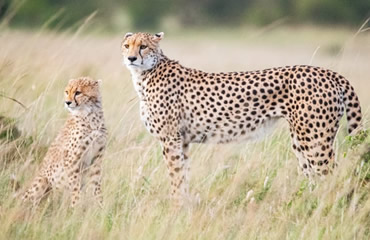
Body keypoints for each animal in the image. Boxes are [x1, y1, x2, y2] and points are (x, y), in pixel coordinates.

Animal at [22, 77, 107, 206]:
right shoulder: (71, 160)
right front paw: (76, 206)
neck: (91, 114)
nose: (67, 102)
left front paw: (100, 206)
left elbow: (96, 184)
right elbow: (75, 186)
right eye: (67, 92)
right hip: (41, 183)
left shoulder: (97, 158)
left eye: (78, 92)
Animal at [120, 31, 362, 208]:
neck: (147, 73)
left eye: (143, 46)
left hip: (314, 141)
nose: (131, 58)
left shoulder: (170, 139)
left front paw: (176, 208)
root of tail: (329, 73)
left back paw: (329, 208)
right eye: (126, 45)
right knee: (315, 177)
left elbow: (175, 176)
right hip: (301, 141)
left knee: (334, 176)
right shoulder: (183, 140)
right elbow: (183, 175)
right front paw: (184, 206)